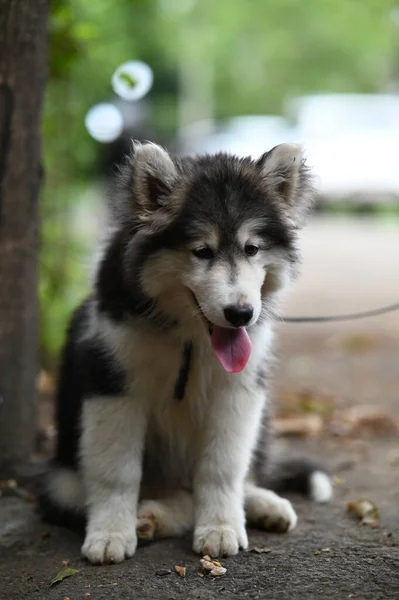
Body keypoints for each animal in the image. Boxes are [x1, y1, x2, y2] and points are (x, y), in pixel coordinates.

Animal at [39, 141, 332, 564]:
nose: (241, 314)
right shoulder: (113, 385)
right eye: (202, 251)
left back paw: (262, 505)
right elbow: (117, 472)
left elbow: (222, 469)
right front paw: (110, 533)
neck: (190, 338)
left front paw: (221, 526)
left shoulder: (238, 392)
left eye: (252, 248)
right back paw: (151, 517)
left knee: (229, 479)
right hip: (61, 483)